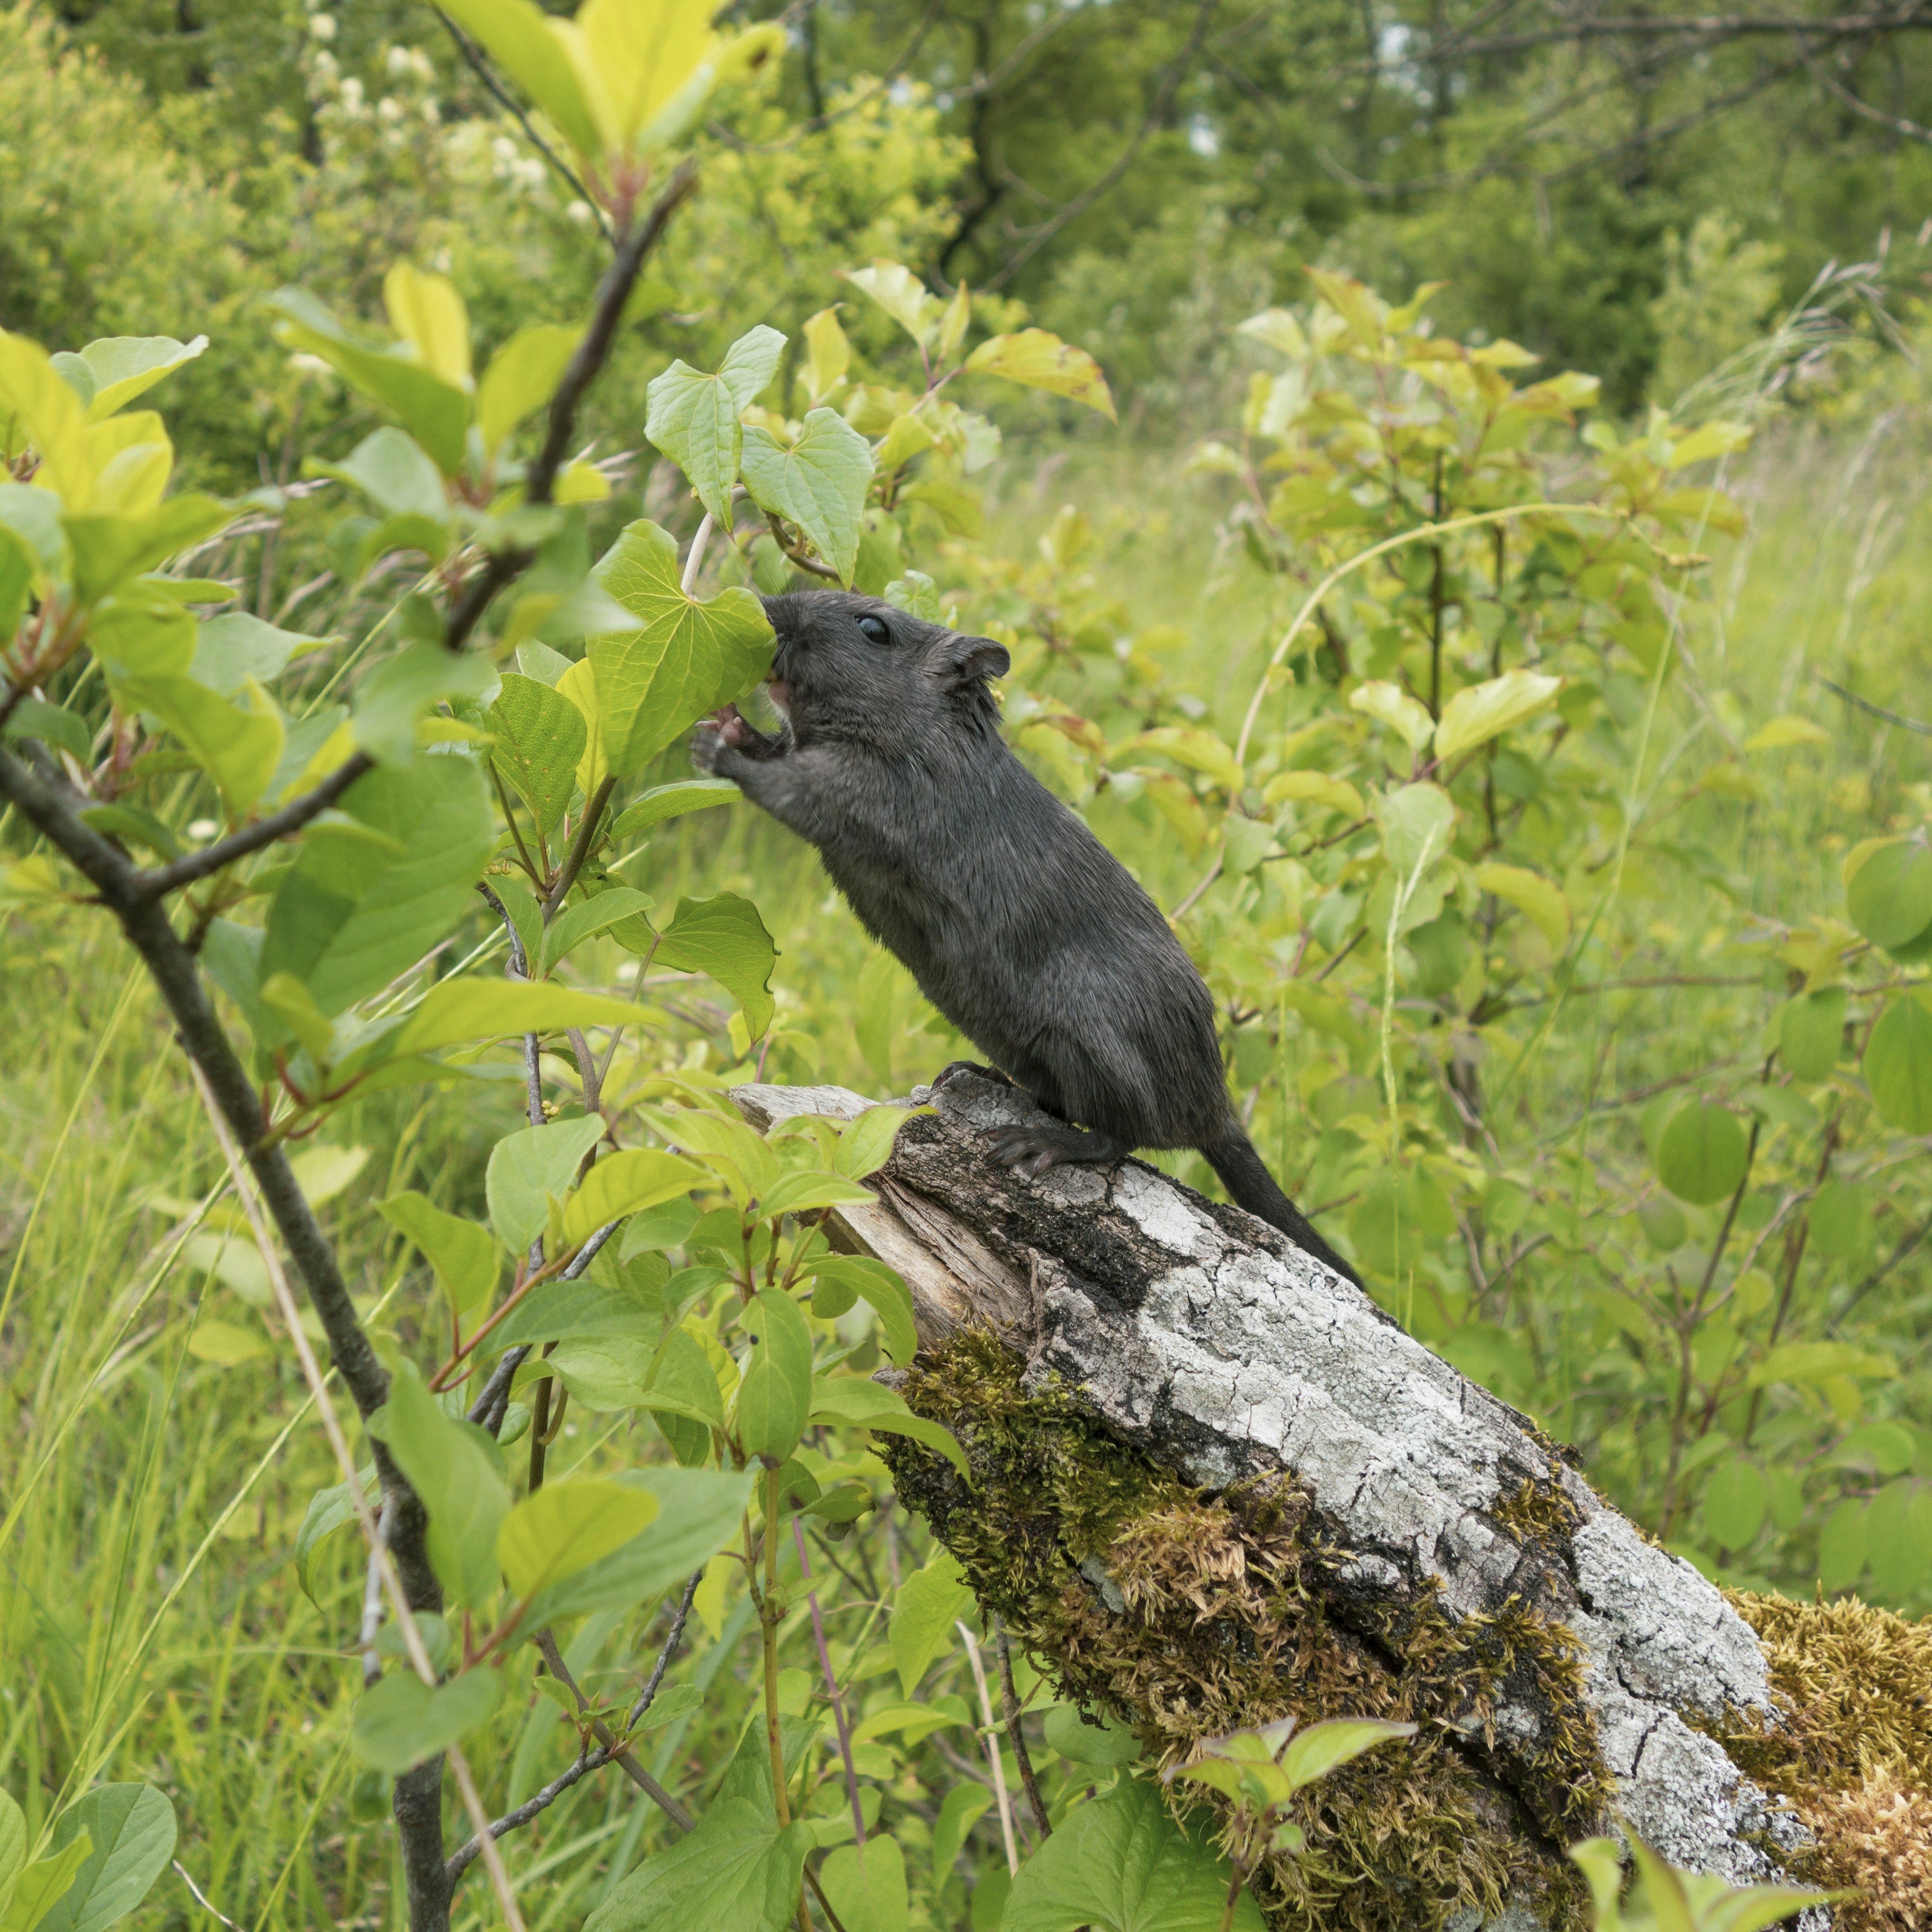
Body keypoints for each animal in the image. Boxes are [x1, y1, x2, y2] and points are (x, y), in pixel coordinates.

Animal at [690, 589, 1360, 1287]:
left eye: (873, 629)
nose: (765, 606)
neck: (930, 731)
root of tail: (1215, 1111)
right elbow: (776, 752)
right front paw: (729, 721)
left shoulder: (871, 794)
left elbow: (787, 788)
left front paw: (720, 753)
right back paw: (986, 1077)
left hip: (1091, 1036)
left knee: (1119, 1135)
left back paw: (1043, 1142)